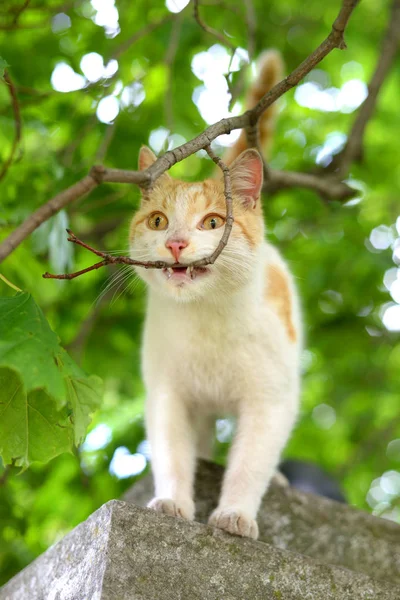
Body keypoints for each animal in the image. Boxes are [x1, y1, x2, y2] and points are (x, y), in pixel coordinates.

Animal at [130, 50, 302, 540]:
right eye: (158, 221)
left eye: (211, 223)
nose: (176, 244)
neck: (206, 318)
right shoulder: (167, 395)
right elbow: (172, 454)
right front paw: (172, 502)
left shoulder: (270, 401)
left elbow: (249, 464)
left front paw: (235, 515)